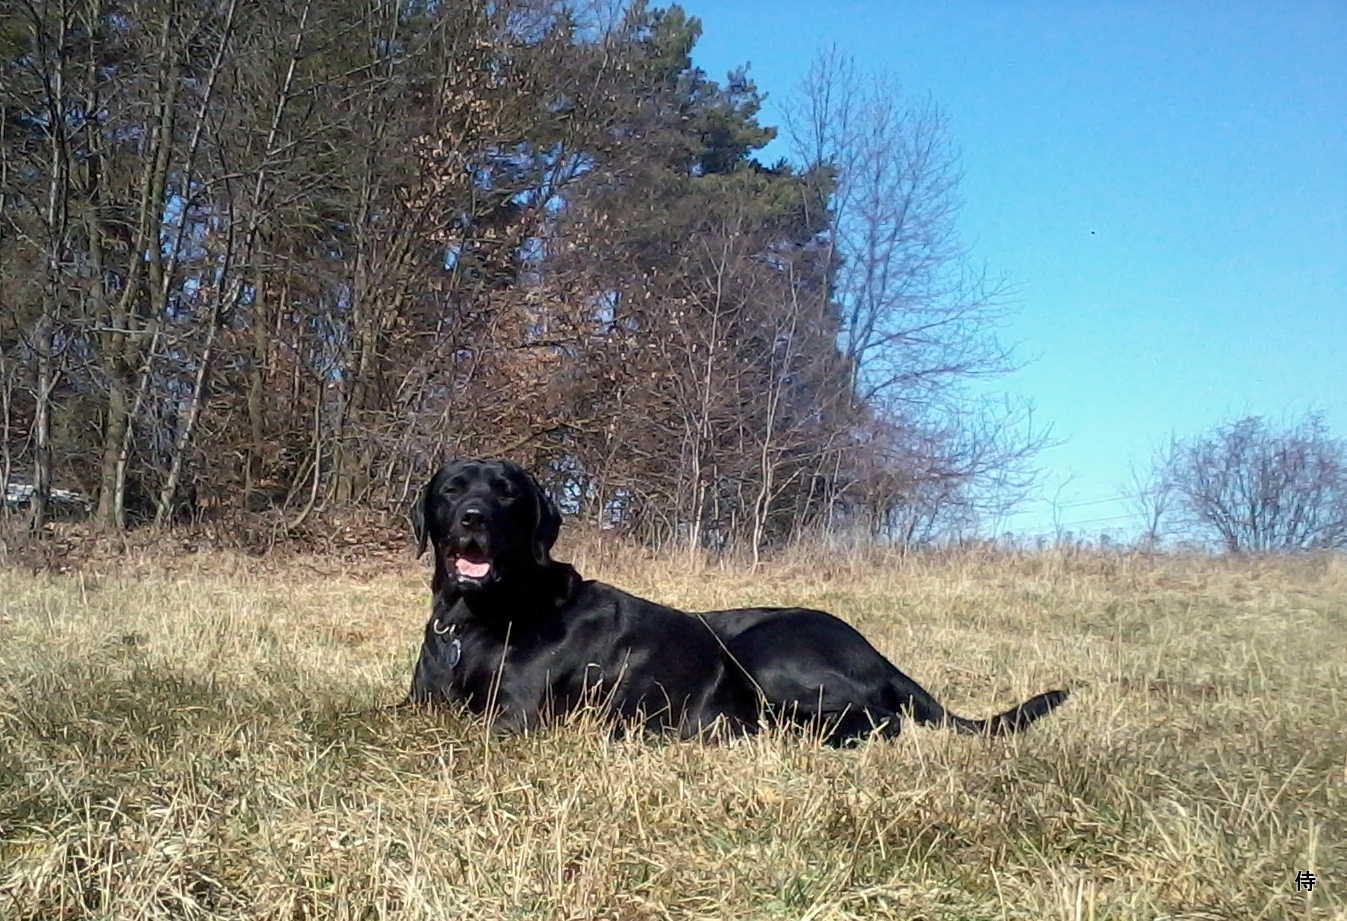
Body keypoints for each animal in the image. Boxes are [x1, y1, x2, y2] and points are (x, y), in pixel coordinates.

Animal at [404, 457, 759, 737]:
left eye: (507, 493)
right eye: (452, 490)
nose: (475, 517)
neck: (475, 617)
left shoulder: (515, 713)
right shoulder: (419, 701)